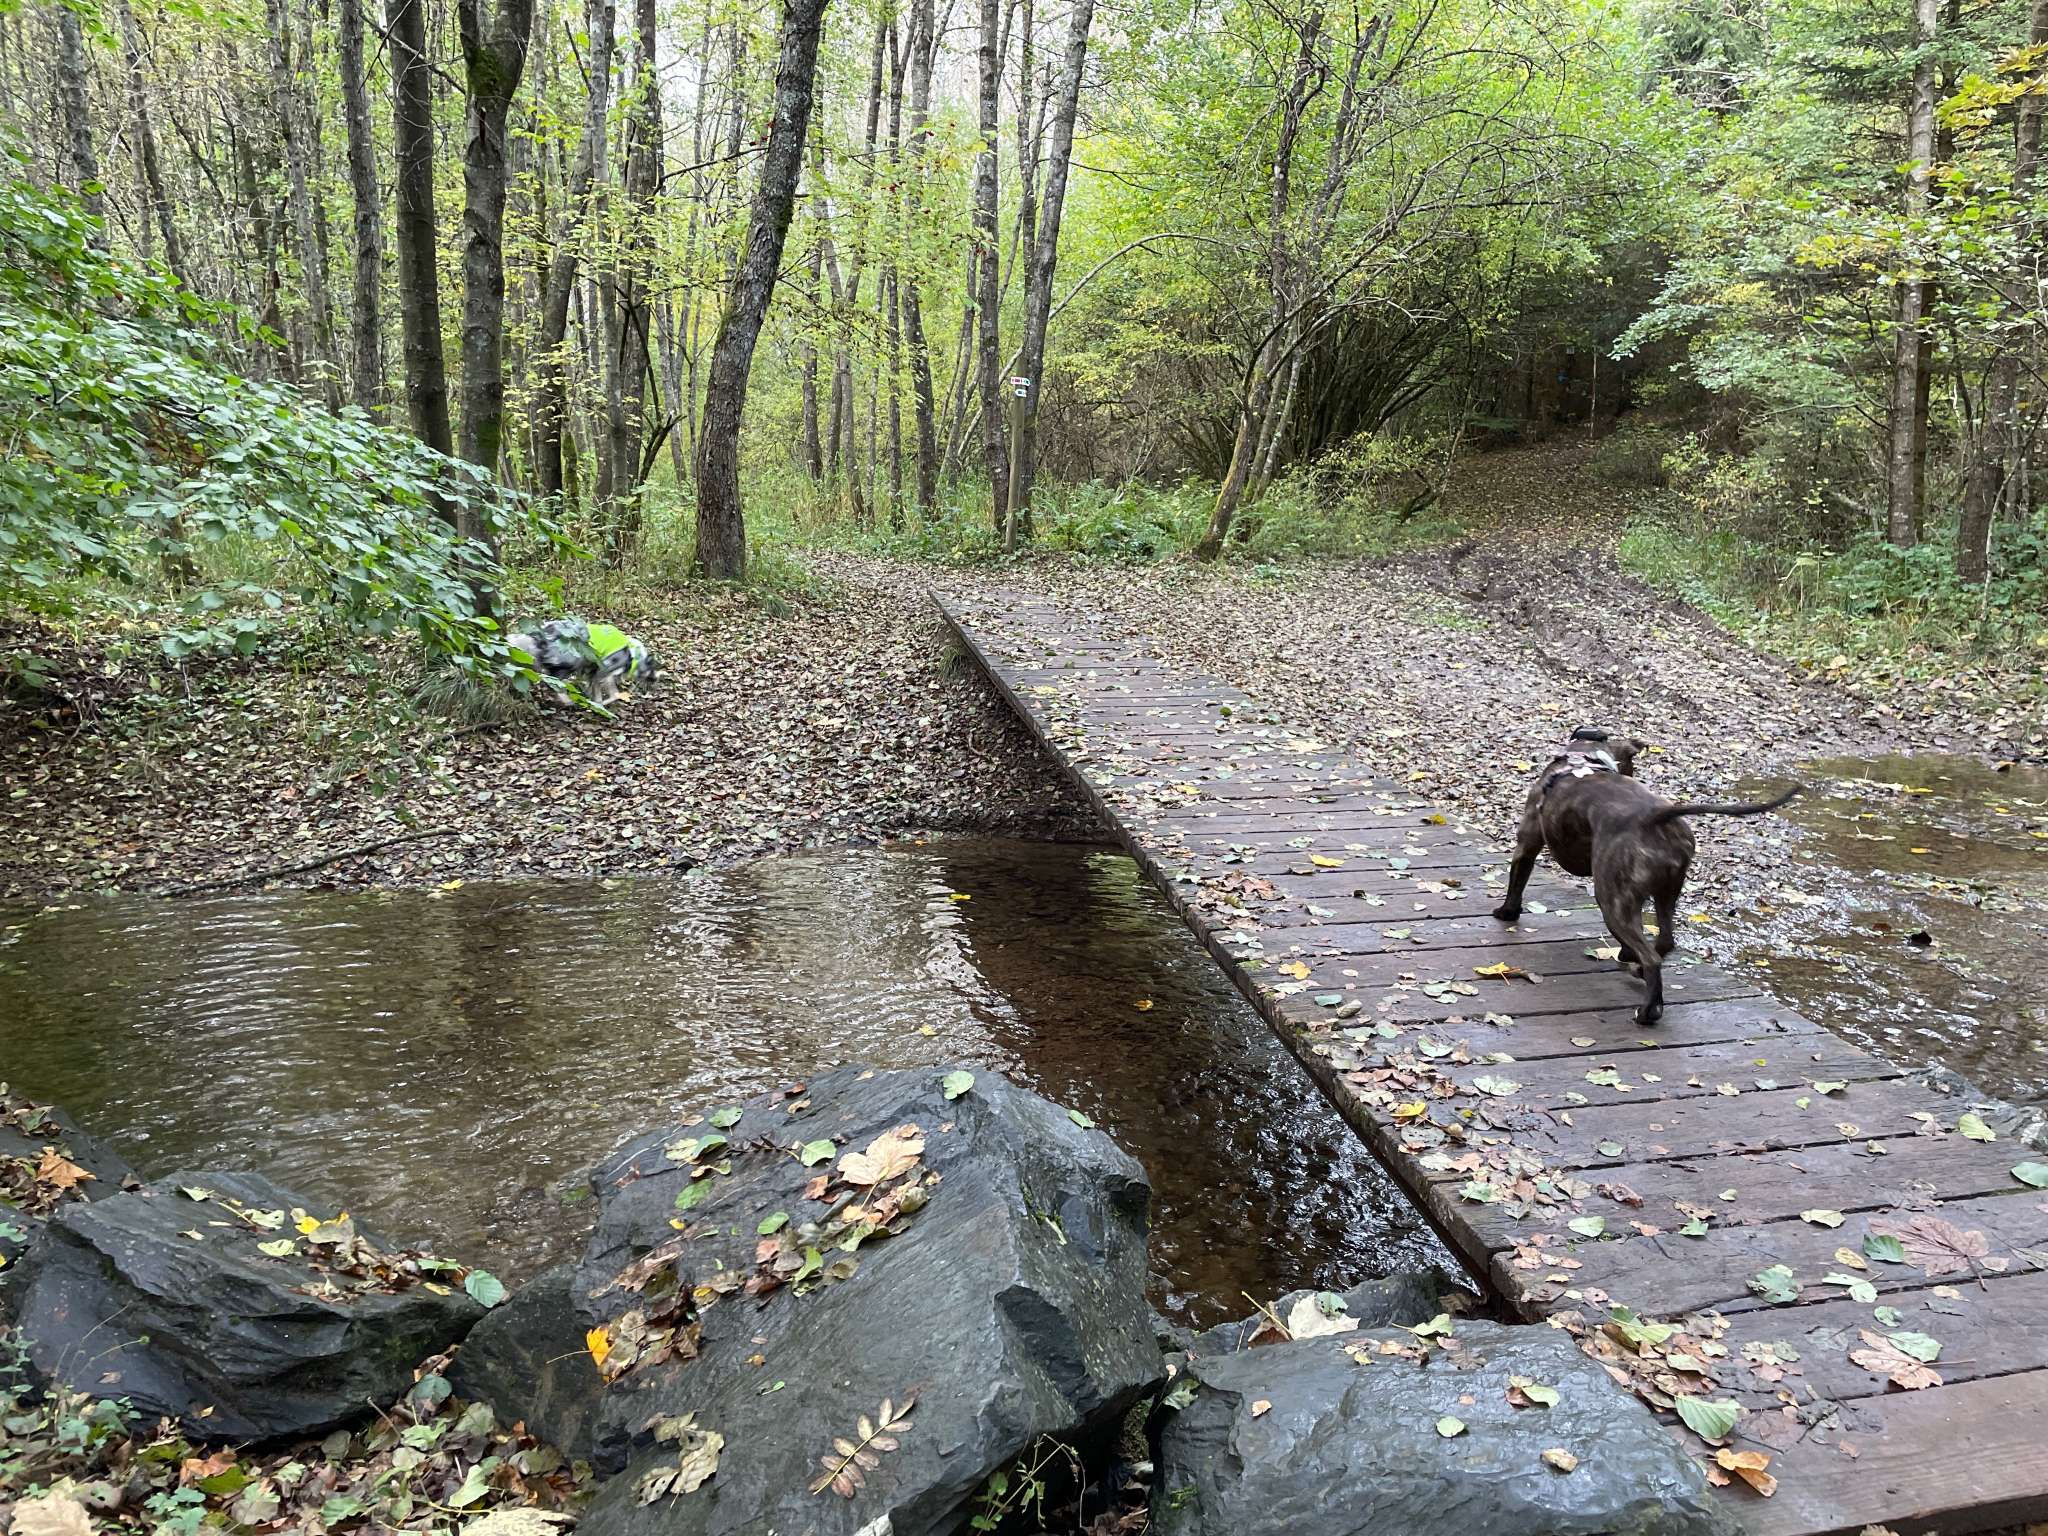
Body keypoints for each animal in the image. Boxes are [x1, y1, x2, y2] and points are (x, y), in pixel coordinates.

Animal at [504, 617, 659, 708]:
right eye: (652, 671)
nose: (655, 681)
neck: (633, 656)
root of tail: (541, 633)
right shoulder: (604, 671)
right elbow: (614, 694)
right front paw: (601, 704)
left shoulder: (593, 671)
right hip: (573, 659)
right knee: (554, 681)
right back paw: (566, 700)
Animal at [1492, 727, 1799, 1025]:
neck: (1583, 757)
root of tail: (1656, 816)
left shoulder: (1527, 843)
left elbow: (1516, 882)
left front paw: (1507, 912)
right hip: (1665, 893)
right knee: (1664, 942)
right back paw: (1639, 971)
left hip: (1612, 901)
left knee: (1651, 956)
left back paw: (1647, 1010)